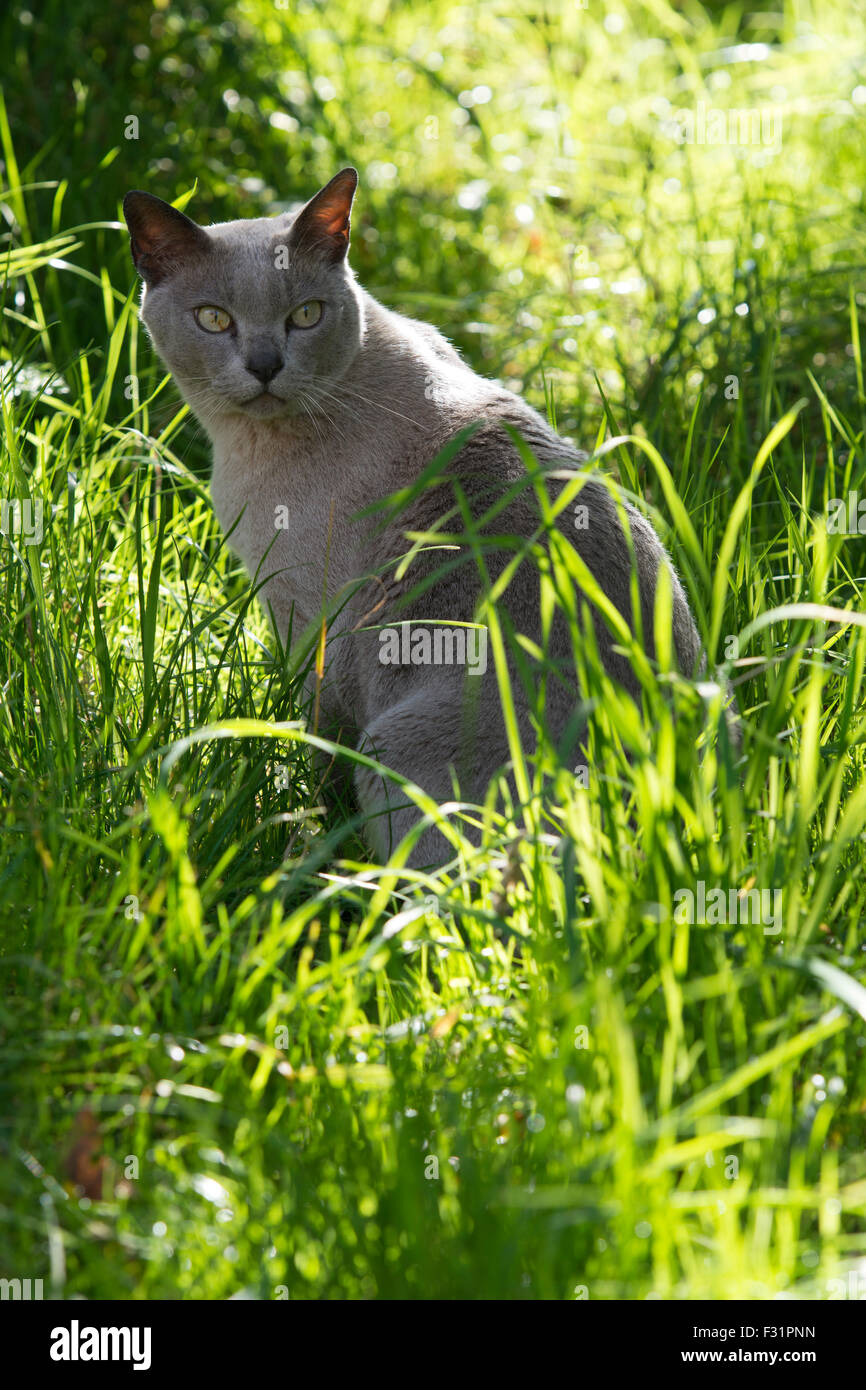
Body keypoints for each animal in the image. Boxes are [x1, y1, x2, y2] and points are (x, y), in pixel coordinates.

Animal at [122, 168, 706, 861]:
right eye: (214, 319)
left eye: (305, 315)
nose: (265, 367)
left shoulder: (309, 620)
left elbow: (316, 747)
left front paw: (306, 827)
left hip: (396, 742)